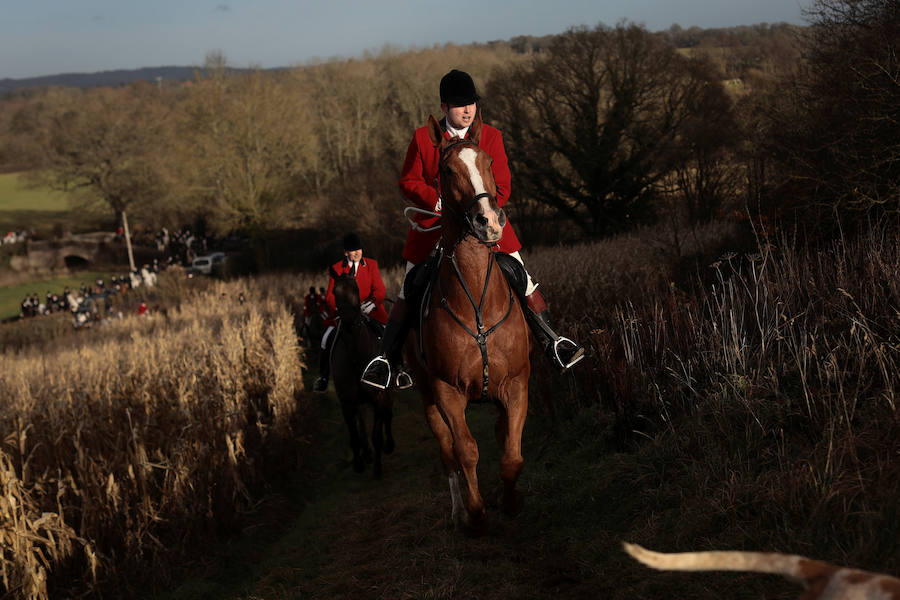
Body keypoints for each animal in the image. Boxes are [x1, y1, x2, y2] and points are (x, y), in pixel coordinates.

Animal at [330, 276, 394, 478]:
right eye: (334, 291)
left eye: (356, 289)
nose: (348, 317)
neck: (357, 357)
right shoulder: (347, 402)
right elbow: (354, 433)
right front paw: (359, 463)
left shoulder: (379, 397)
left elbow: (376, 435)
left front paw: (378, 469)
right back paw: (367, 453)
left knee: (388, 413)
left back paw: (389, 445)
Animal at [406, 111, 532, 528]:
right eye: (446, 170)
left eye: (489, 162)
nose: (489, 222)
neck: (476, 300)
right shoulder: (447, 390)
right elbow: (466, 451)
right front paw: (476, 513)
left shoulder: (516, 384)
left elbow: (511, 453)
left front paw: (509, 501)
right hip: (427, 395)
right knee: (447, 452)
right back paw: (460, 510)